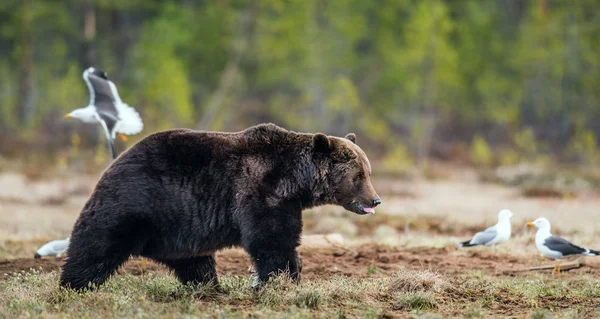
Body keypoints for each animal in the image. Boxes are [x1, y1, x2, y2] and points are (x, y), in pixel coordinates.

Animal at [61, 124, 380, 292]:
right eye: (359, 175)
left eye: (368, 171)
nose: (375, 200)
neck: (293, 181)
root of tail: (113, 165)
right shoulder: (260, 193)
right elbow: (272, 240)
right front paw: (282, 279)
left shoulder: (285, 201)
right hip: (135, 204)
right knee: (96, 246)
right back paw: (74, 284)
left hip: (177, 230)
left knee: (195, 262)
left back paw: (210, 286)